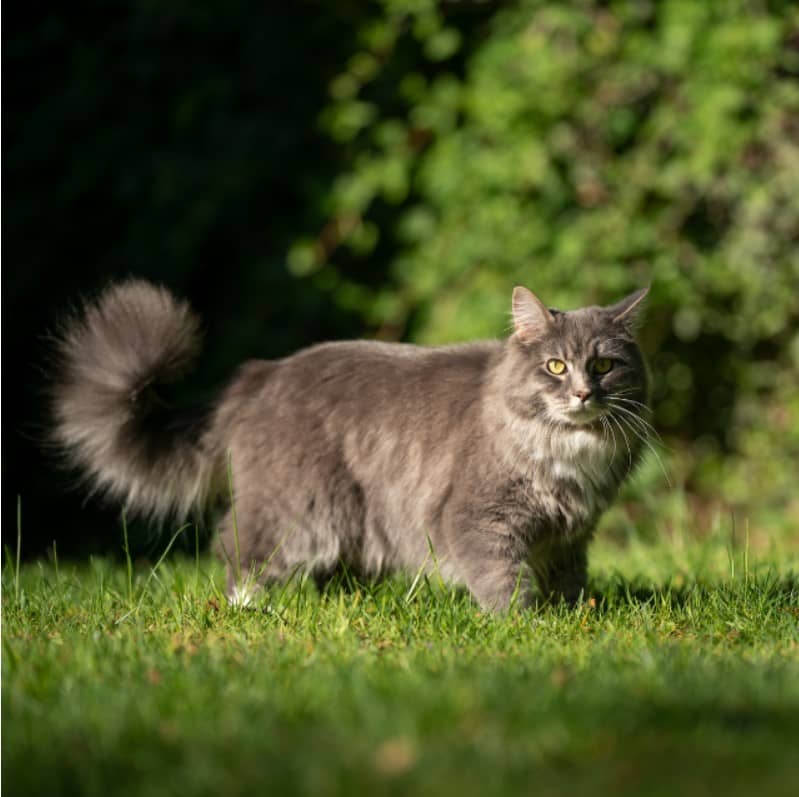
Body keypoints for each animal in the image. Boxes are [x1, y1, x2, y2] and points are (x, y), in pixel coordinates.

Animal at [50, 280, 648, 608]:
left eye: (602, 366)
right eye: (555, 366)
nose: (583, 393)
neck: (569, 449)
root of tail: (261, 375)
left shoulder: (571, 536)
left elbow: (569, 583)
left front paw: (572, 617)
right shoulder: (479, 520)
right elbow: (505, 583)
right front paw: (524, 627)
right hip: (299, 510)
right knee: (238, 554)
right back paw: (253, 612)